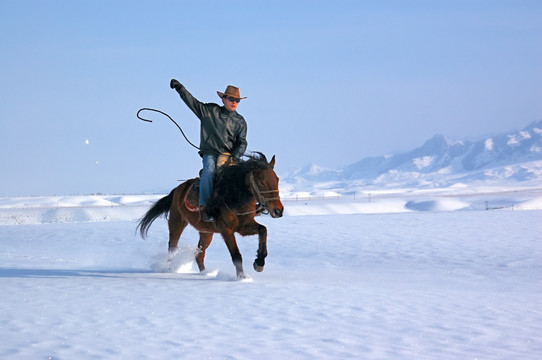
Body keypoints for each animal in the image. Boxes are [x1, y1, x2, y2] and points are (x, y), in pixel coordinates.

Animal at [138, 152, 284, 278]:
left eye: (277, 179)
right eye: (261, 182)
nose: (278, 210)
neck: (233, 196)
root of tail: (177, 189)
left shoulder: (244, 226)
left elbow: (263, 230)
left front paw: (259, 263)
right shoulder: (226, 230)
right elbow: (236, 255)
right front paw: (242, 278)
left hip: (206, 232)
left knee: (199, 255)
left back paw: (205, 274)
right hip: (176, 223)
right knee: (172, 248)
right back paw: (170, 269)